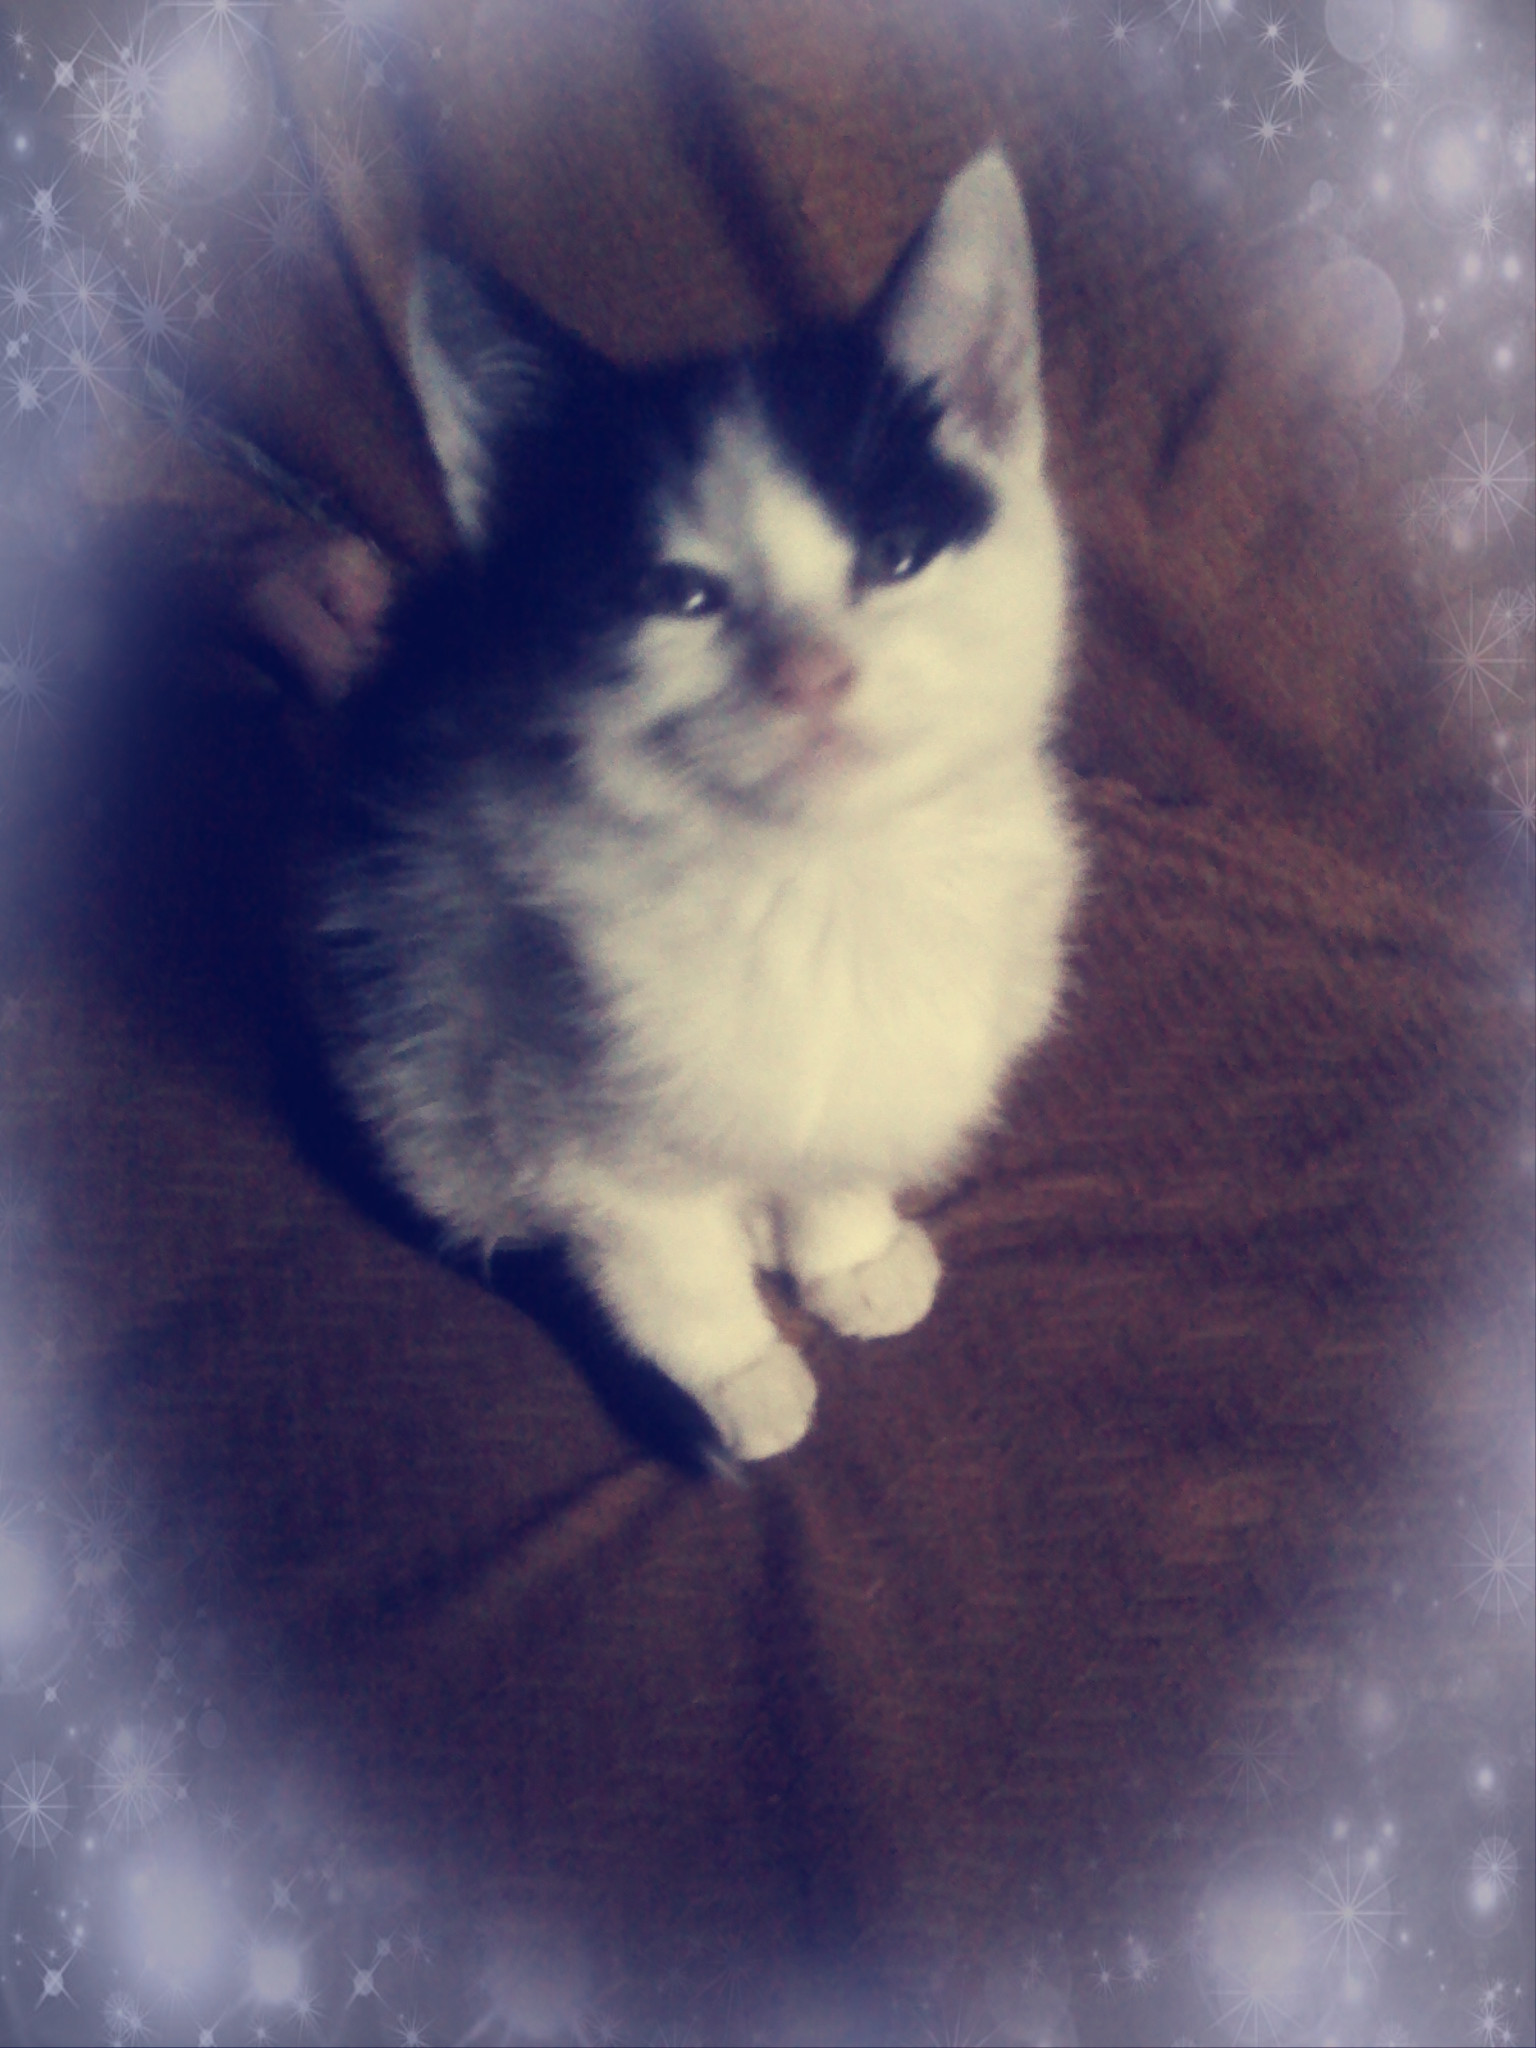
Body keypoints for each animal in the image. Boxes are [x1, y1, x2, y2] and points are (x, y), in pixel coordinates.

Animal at [307, 144, 1082, 1461]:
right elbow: (658, 1254)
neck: (823, 880)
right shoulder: (539, 1065)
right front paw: (735, 1375)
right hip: (402, 1059)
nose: (811, 672)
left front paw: (844, 1245)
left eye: (895, 553)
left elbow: (838, 1135)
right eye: (680, 594)